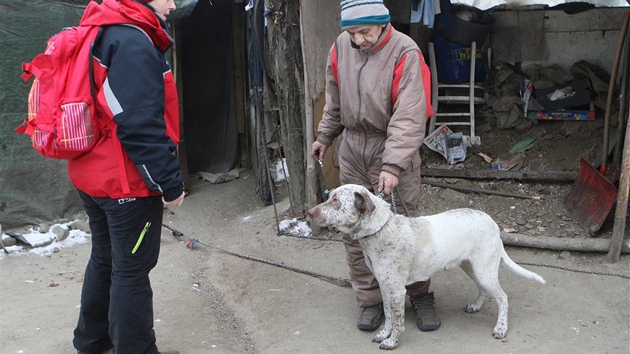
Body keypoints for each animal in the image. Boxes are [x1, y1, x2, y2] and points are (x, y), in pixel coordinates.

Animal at [308, 184, 544, 350]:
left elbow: (398, 320)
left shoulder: (396, 291)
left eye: (335, 200)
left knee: (503, 298)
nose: (309, 212)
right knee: (484, 290)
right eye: (329, 196)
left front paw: (392, 342)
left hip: (484, 270)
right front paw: (384, 334)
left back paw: (501, 328)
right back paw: (476, 306)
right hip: (472, 267)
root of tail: (493, 222)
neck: (380, 230)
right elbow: (388, 315)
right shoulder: (385, 287)